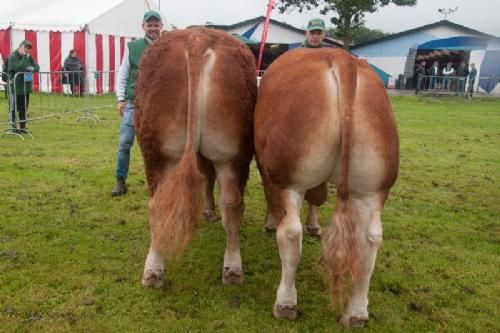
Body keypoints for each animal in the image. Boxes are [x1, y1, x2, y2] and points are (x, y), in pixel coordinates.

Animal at [134, 28, 256, 286]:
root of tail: (197, 37)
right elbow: (208, 178)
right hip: (232, 154)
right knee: (232, 203)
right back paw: (232, 270)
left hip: (157, 154)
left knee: (158, 204)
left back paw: (153, 271)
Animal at [254, 48, 398, 328]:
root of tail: (341, 57)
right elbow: (318, 196)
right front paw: (315, 224)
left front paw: (272, 222)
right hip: (373, 188)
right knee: (370, 242)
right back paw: (356, 313)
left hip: (290, 179)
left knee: (291, 236)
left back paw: (285, 303)